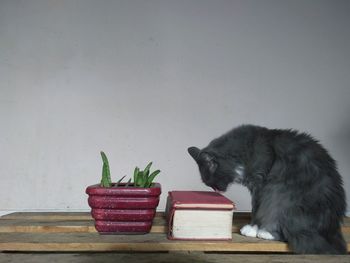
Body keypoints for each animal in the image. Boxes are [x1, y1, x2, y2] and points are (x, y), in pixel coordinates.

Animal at [187, 125, 346, 255]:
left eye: (212, 183)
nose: (217, 190)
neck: (242, 152)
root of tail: (330, 230)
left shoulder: (260, 185)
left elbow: (256, 210)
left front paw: (252, 228)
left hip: (278, 193)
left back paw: (266, 233)